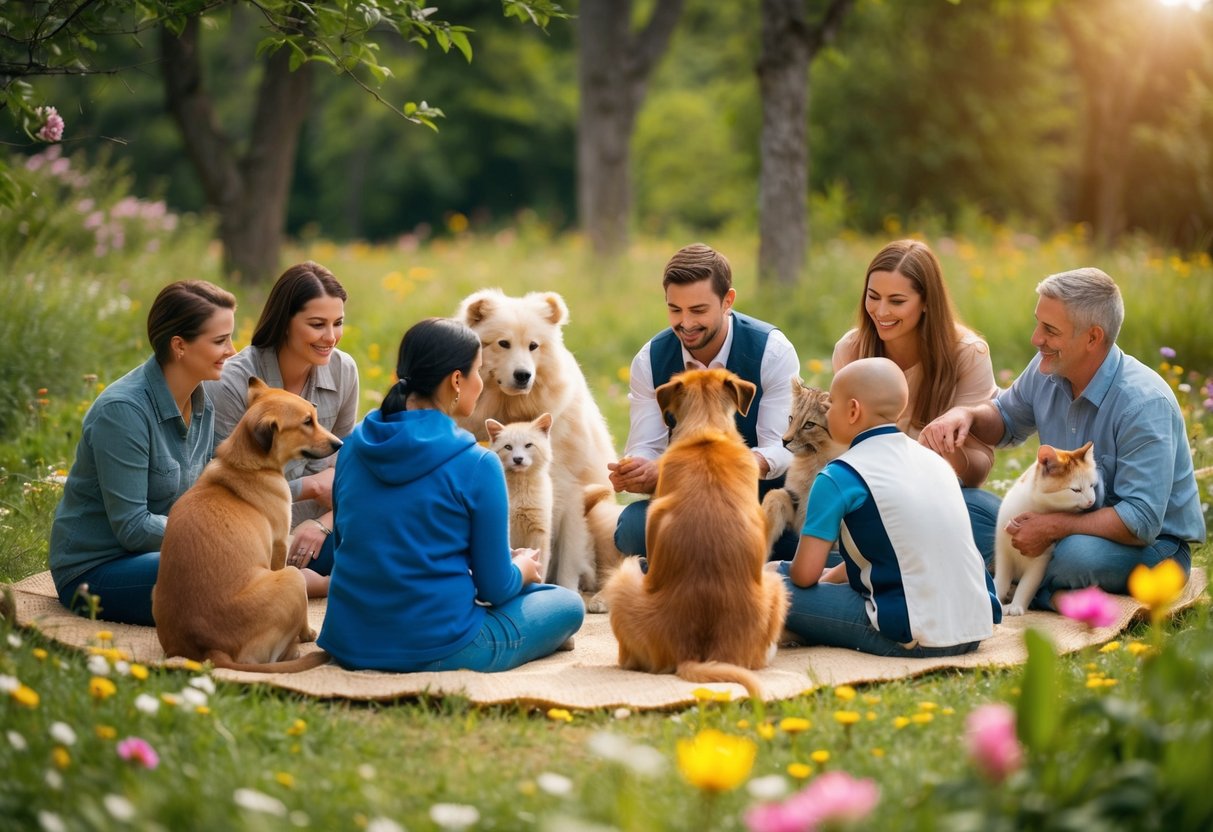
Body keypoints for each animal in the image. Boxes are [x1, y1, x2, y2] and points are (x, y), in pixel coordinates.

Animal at [154, 380, 342, 674]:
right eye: (307, 422)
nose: (340, 443)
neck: (246, 464)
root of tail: (210, 649)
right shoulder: (280, 544)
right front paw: (309, 633)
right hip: (293, 578)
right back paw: (297, 647)